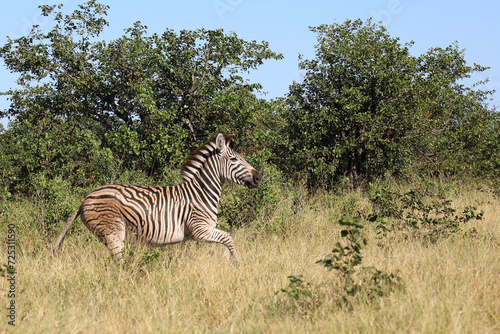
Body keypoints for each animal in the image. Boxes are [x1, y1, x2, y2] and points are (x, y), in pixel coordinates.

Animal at [50, 132, 262, 260]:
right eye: (233, 159)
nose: (259, 177)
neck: (201, 193)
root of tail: (86, 198)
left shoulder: (199, 233)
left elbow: (225, 240)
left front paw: (228, 260)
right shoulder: (199, 230)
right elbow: (229, 238)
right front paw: (235, 264)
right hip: (114, 232)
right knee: (118, 264)